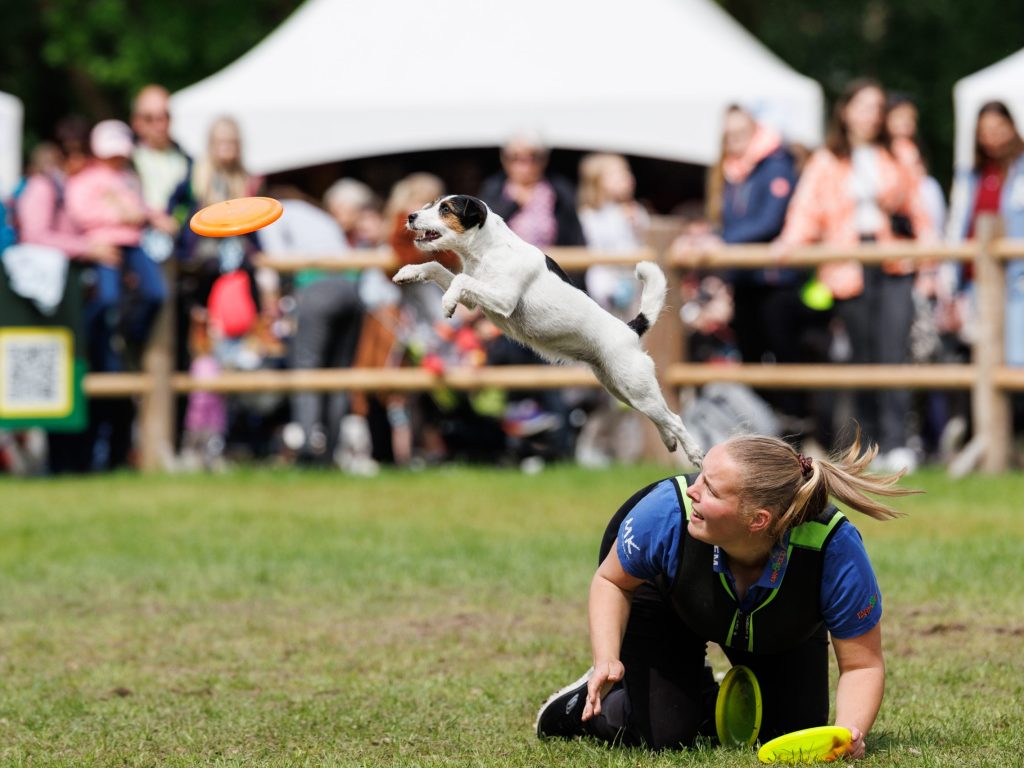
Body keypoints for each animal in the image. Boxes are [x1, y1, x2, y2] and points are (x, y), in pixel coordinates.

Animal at [391, 195, 704, 466]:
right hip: (621, 390)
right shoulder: (474, 300)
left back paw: (696, 454)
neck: (489, 251)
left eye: (446, 209)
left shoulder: (503, 299)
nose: (410, 216)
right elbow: (437, 267)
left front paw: (446, 304)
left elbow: (460, 281)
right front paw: (409, 271)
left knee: (674, 418)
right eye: (432, 204)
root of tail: (630, 330)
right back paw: (669, 441)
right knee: (661, 418)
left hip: (636, 387)